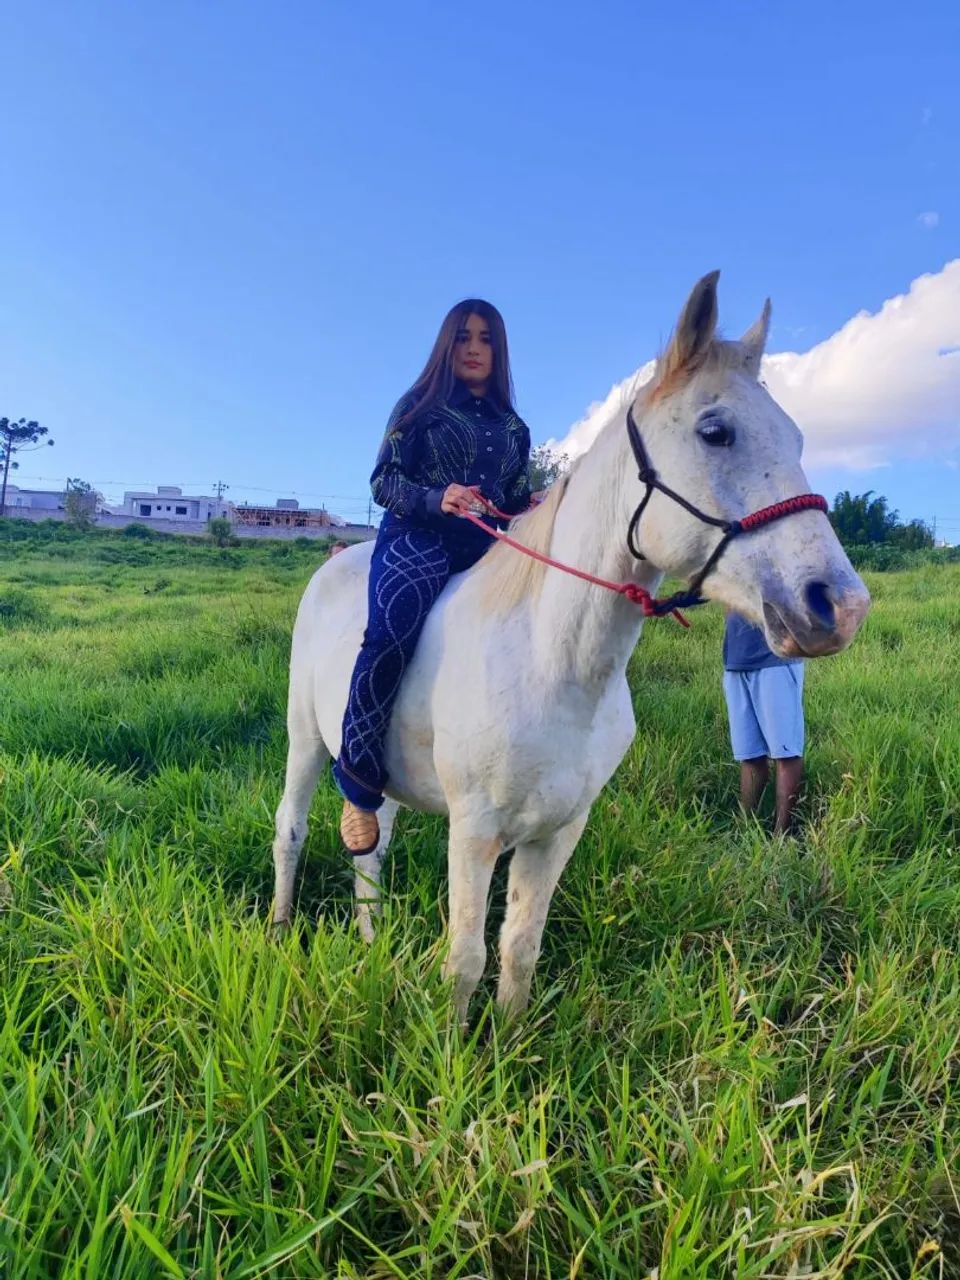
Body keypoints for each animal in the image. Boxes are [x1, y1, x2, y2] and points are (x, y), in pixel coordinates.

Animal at [271, 272, 870, 1020]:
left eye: (796, 437)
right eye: (715, 431)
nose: (839, 605)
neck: (552, 665)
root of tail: (333, 563)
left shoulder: (556, 832)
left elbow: (519, 949)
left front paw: (509, 1039)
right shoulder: (474, 832)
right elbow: (464, 961)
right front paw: (454, 1047)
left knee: (370, 850)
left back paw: (371, 942)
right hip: (306, 740)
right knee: (292, 830)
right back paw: (278, 930)